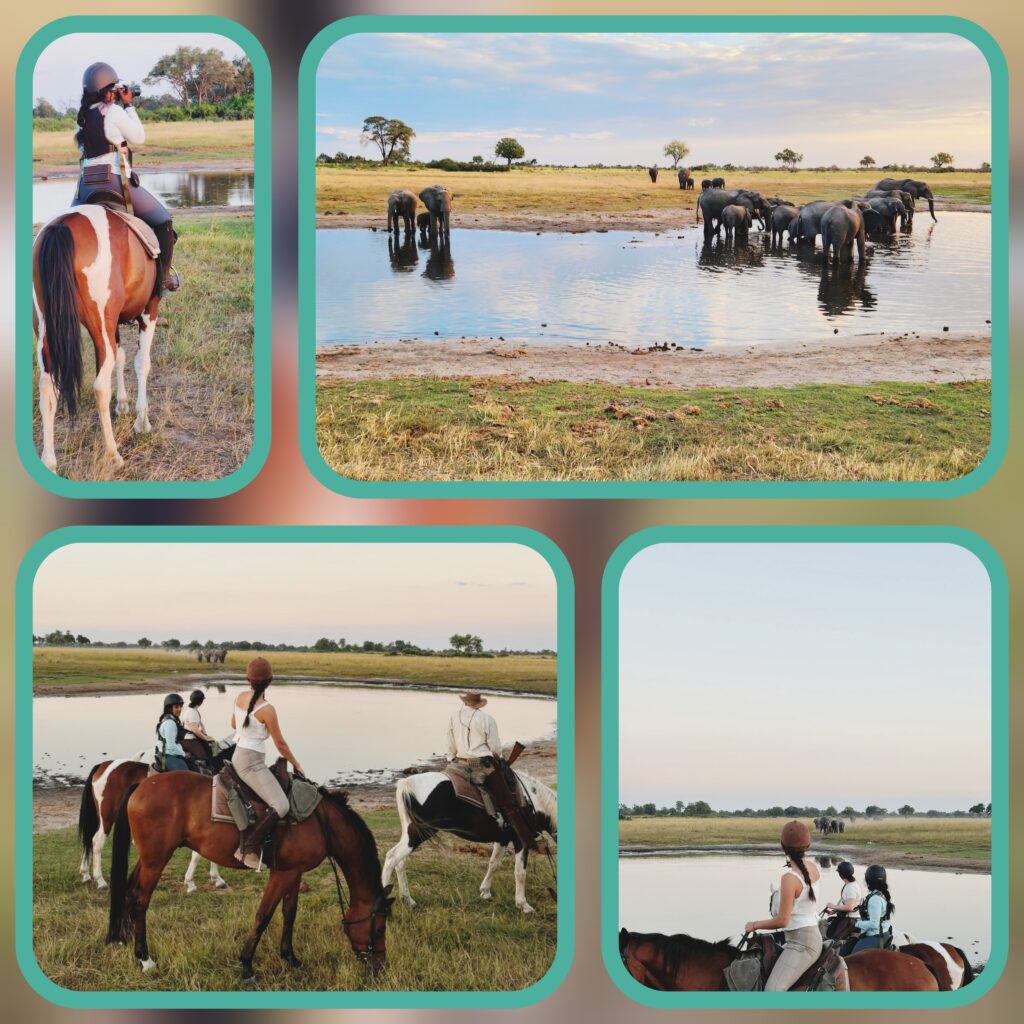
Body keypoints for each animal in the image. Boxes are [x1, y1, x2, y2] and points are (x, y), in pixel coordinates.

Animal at [32, 204, 162, 475]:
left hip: (45, 330)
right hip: (100, 322)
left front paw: (122, 405)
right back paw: (113, 454)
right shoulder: (150, 309)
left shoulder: (117, 322)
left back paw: (49, 463)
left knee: (48, 389)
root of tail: (64, 225)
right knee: (101, 386)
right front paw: (141, 420)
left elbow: (122, 357)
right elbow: (141, 363)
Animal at [78, 749, 230, 892]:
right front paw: (193, 882)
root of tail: (102, 766)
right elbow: (198, 855)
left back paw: (85, 874)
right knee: (96, 842)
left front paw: (216, 879)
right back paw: (100, 881)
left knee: (89, 840)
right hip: (107, 817)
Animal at [103, 770, 391, 978]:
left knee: (129, 891)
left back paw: (125, 941)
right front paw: (247, 965)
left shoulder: (294, 872)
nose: (380, 966)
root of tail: (142, 784)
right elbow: (264, 915)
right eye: (379, 928)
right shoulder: (282, 874)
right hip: (156, 860)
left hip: (148, 859)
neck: (321, 821)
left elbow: (290, 913)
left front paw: (290, 957)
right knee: (140, 900)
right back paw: (145, 958)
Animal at [385, 770, 561, 913]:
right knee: (392, 858)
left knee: (400, 863)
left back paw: (408, 901)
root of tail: (406, 783)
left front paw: (485, 892)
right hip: (417, 834)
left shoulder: (502, 839)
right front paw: (523, 905)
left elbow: (494, 863)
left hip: (411, 835)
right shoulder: (521, 841)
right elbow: (520, 872)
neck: (531, 800)